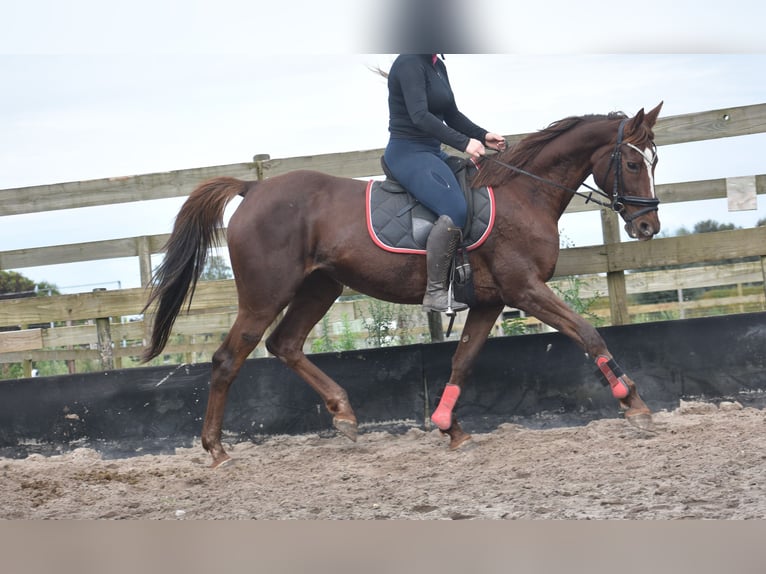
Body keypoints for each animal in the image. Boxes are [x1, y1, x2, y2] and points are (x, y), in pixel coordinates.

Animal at [142, 102, 664, 468]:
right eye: (633, 164)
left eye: (653, 162)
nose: (648, 227)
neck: (523, 192)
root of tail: (254, 189)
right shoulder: (525, 289)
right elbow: (587, 333)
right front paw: (634, 404)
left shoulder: (491, 302)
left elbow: (462, 361)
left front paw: (449, 428)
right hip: (265, 295)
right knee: (228, 359)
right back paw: (216, 450)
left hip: (320, 287)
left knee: (285, 344)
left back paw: (344, 415)